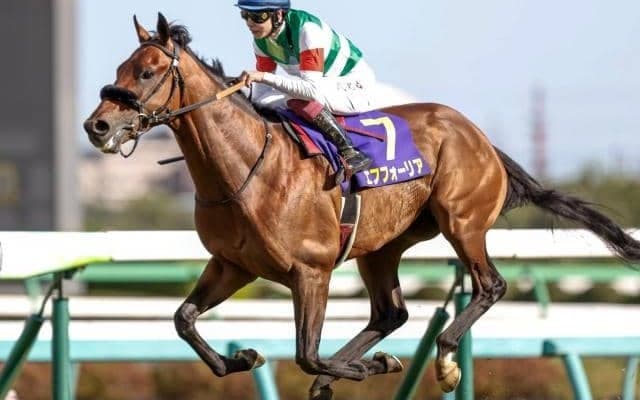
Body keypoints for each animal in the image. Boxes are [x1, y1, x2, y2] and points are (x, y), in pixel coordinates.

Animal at [83, 13, 640, 400]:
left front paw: (370, 367)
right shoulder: (233, 264)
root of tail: (480, 138)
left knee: (489, 286)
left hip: (462, 221)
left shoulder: (312, 271)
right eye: (119, 69)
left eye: (148, 71)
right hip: (381, 247)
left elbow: (307, 354)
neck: (246, 169)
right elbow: (183, 320)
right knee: (390, 313)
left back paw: (442, 360)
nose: (98, 125)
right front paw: (243, 357)